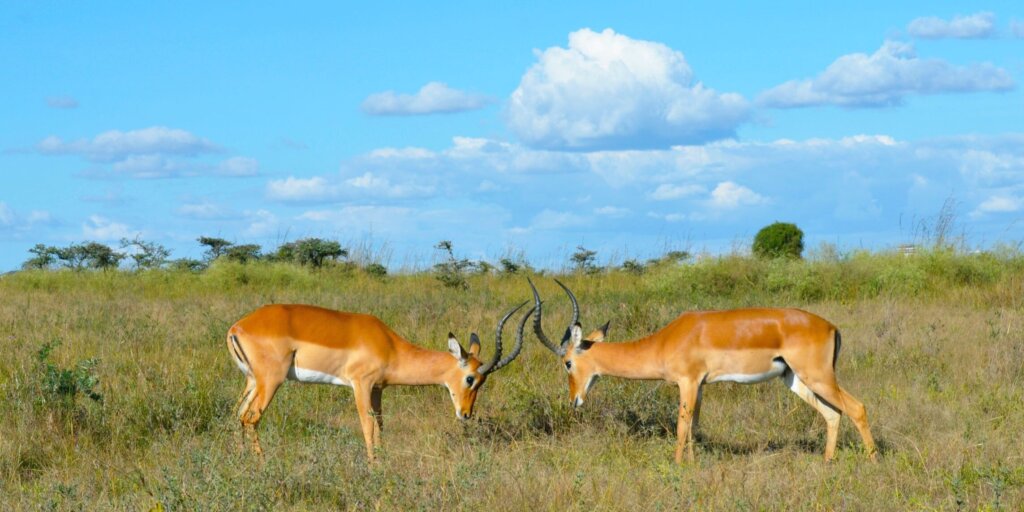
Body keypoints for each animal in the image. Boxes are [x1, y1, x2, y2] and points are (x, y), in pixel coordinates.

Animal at [227, 301, 533, 461]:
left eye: (482, 381)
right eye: (470, 378)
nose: (466, 414)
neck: (390, 346)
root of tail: (237, 327)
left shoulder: (377, 390)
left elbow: (381, 426)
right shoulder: (360, 385)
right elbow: (367, 425)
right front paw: (373, 466)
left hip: (252, 381)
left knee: (236, 414)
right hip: (271, 381)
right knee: (251, 418)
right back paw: (261, 463)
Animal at [528, 278, 876, 464]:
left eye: (567, 363)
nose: (574, 400)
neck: (664, 340)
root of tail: (831, 326)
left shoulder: (688, 382)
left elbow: (682, 427)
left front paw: (677, 466)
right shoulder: (701, 385)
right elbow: (694, 426)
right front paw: (693, 466)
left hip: (818, 376)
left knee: (857, 407)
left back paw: (873, 460)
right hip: (795, 379)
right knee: (833, 414)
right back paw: (827, 461)